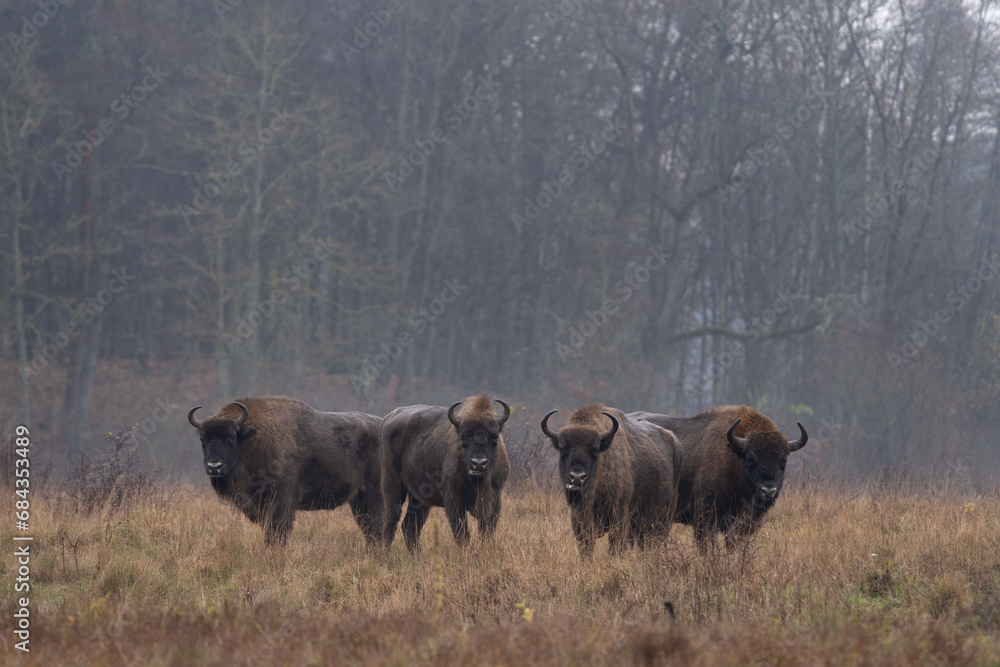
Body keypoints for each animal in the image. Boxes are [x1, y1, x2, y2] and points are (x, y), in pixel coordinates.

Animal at [187, 396, 382, 548]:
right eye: (203, 439)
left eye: (232, 437)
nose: (214, 467)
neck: (252, 440)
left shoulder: (281, 504)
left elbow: (277, 534)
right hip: (358, 500)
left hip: (373, 495)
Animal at [378, 396, 512, 552]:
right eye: (463, 437)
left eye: (495, 437)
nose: (478, 463)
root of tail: (387, 419)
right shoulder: (454, 501)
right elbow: (462, 533)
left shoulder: (495, 501)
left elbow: (486, 532)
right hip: (393, 488)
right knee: (390, 522)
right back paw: (386, 553)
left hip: (419, 499)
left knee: (409, 526)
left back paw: (418, 555)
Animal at [544, 408, 684, 560]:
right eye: (562, 450)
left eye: (595, 449)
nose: (577, 477)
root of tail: (676, 443)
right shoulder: (579, 519)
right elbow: (586, 547)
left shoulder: (619, 517)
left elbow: (615, 546)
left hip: (662, 518)